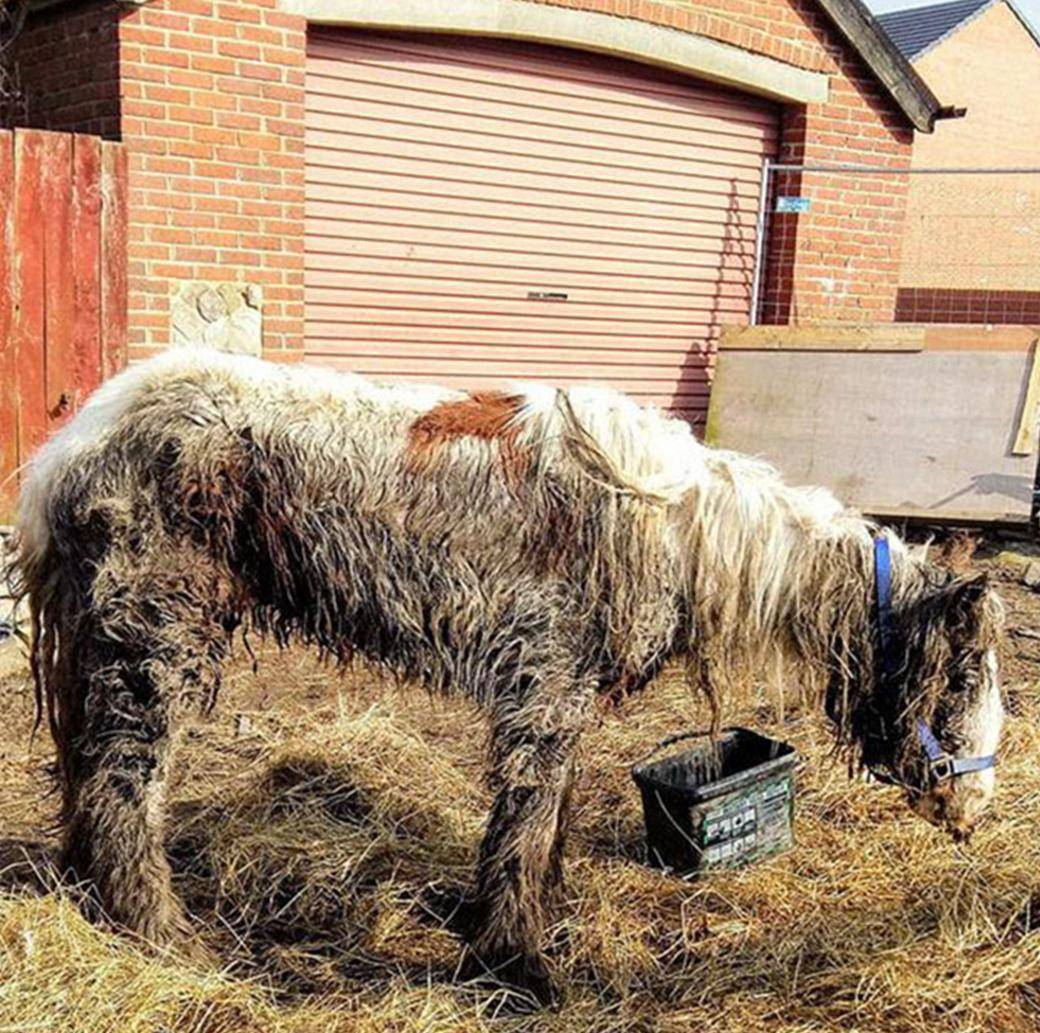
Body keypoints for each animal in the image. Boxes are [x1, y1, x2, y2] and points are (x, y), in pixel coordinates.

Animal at [8, 347, 998, 998]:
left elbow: (544, 822)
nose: (978, 812)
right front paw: (520, 964)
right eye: (959, 685)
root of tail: (74, 443)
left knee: (88, 775)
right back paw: (162, 935)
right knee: (122, 784)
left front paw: (528, 926)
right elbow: (525, 821)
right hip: (156, 642)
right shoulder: (544, 686)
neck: (682, 529)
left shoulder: (560, 695)